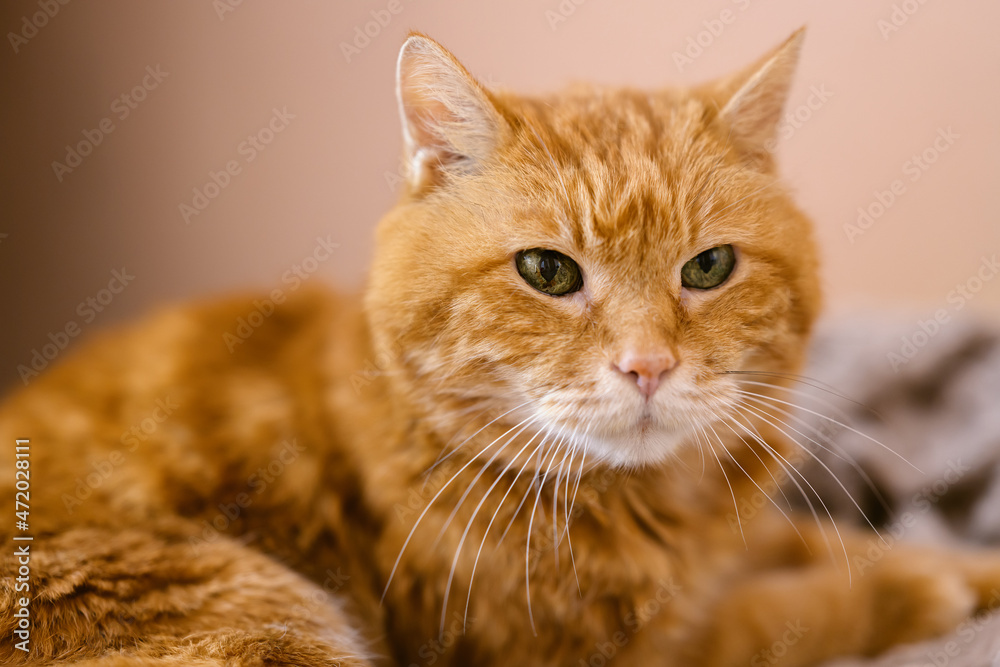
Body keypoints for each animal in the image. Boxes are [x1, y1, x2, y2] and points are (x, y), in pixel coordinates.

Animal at [1, 30, 1000, 667]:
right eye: (547, 272)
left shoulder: (732, 540)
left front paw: (967, 568)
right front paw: (916, 589)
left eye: (709, 266)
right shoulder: (595, 652)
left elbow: (816, 539)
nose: (648, 365)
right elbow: (792, 612)